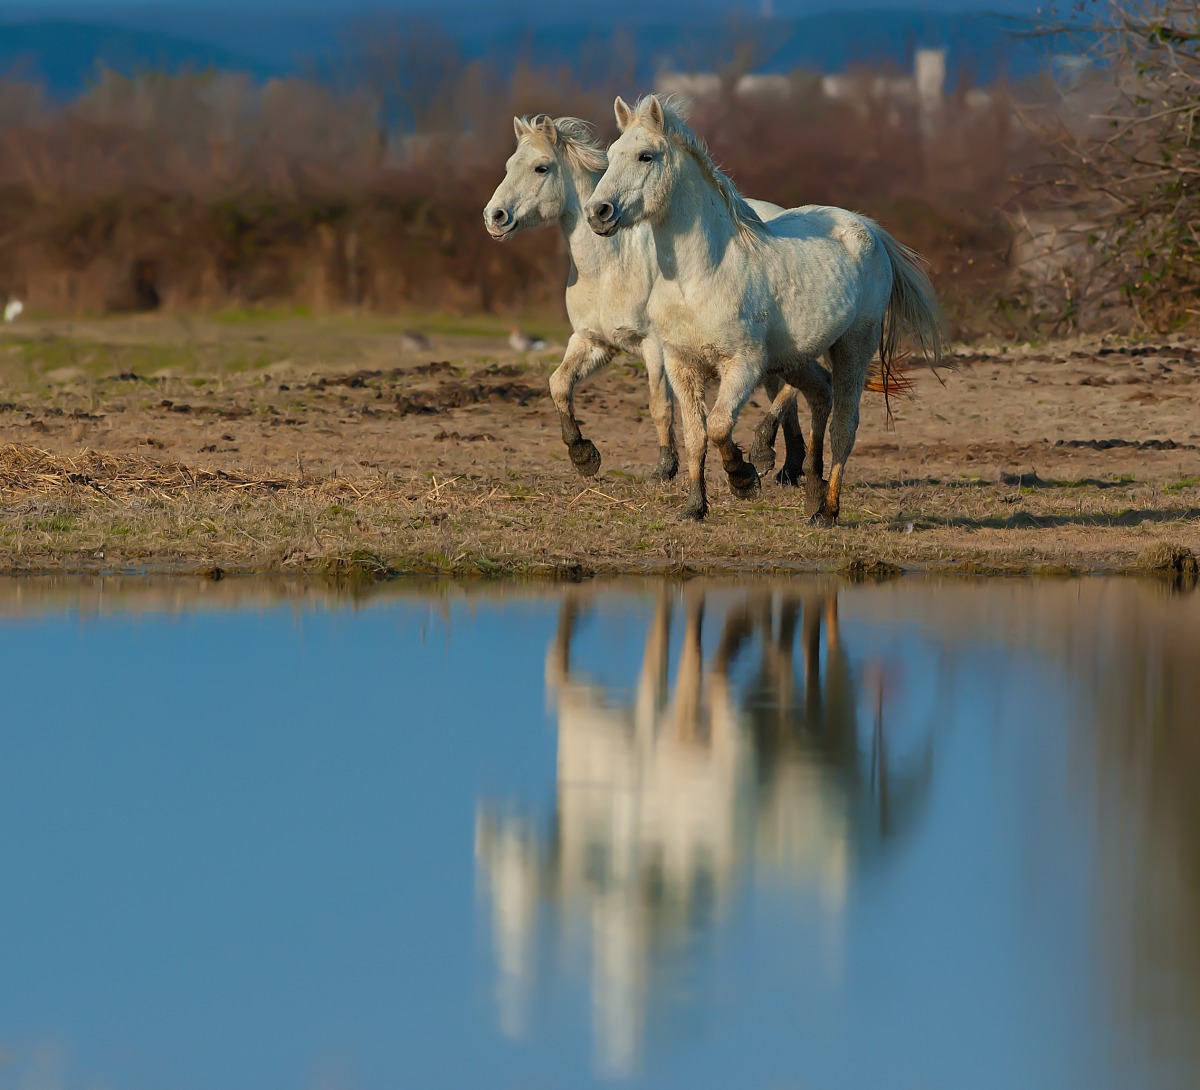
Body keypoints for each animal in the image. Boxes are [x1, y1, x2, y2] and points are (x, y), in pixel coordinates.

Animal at [483, 114, 831, 484]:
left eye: (541, 168)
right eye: (509, 166)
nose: (495, 217)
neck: (610, 267)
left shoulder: (654, 347)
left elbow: (659, 406)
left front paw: (664, 467)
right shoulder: (592, 342)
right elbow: (559, 384)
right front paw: (583, 455)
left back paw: (767, 455)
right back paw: (784, 466)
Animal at [586, 95, 944, 523]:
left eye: (646, 156)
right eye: (610, 155)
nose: (598, 212)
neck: (699, 276)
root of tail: (868, 228)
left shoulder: (744, 363)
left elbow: (719, 425)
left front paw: (743, 478)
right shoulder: (680, 363)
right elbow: (695, 434)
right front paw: (694, 507)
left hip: (854, 347)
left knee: (844, 424)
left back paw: (827, 510)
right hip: (795, 358)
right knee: (820, 395)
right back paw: (811, 492)